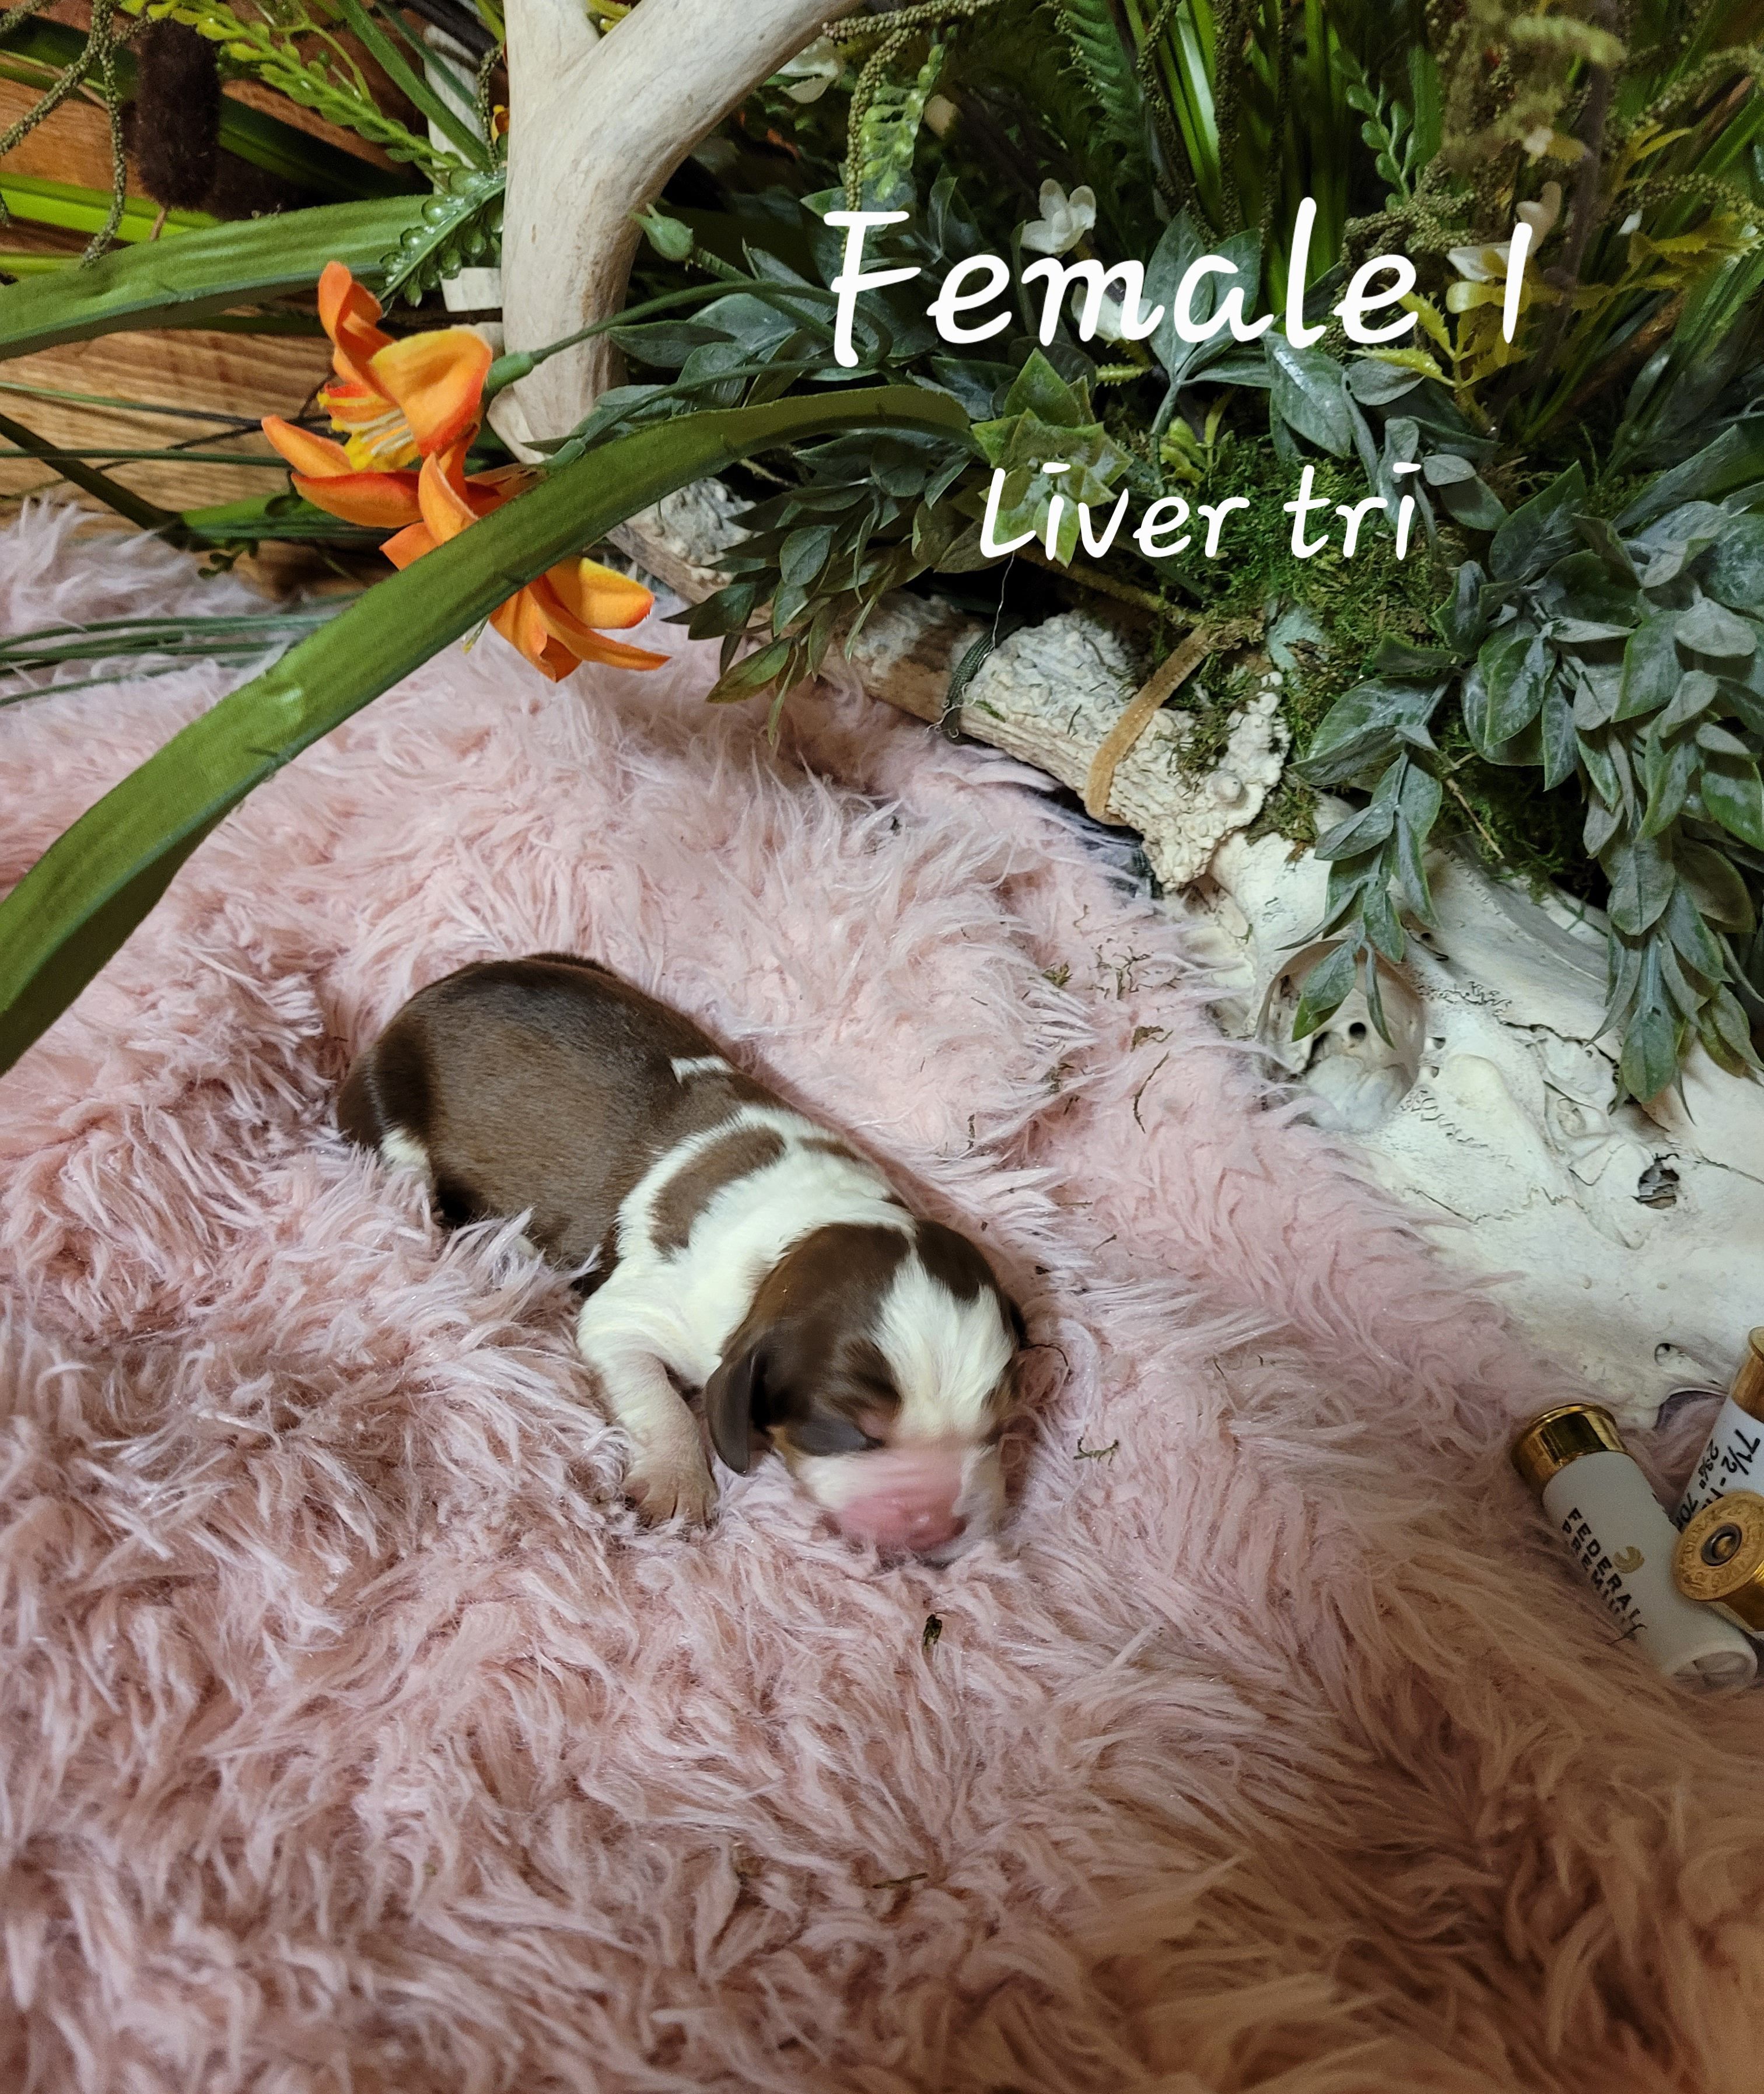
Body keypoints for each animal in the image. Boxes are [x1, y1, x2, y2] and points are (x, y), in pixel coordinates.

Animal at [338, 955, 1023, 1559]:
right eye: (849, 1427)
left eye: (997, 1424)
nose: (938, 1530)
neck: (802, 1226)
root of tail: (421, 1000)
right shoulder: (633, 1311)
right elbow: (657, 1397)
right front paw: (676, 1486)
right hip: (392, 1125)